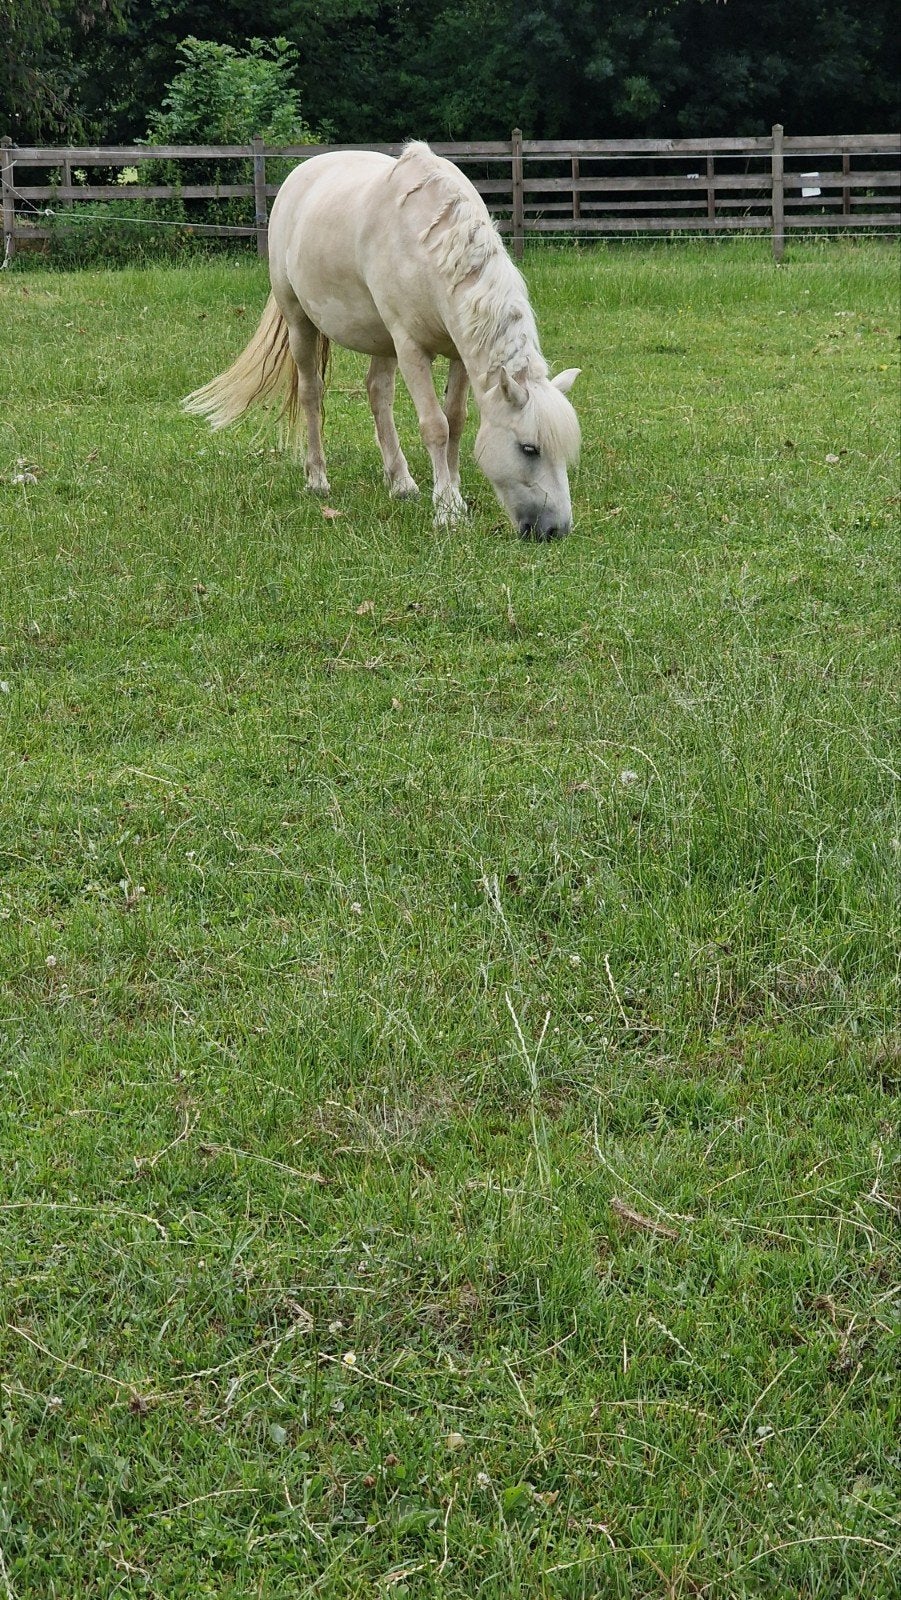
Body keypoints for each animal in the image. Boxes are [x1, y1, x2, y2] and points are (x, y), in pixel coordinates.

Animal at [184, 141, 581, 539]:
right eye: (529, 449)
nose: (555, 529)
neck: (430, 243)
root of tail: (299, 175)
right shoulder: (410, 348)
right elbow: (435, 426)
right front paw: (447, 510)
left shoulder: (458, 353)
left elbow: (455, 420)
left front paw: (452, 491)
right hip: (300, 323)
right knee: (312, 394)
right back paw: (317, 479)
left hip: (381, 340)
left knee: (378, 393)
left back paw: (401, 482)